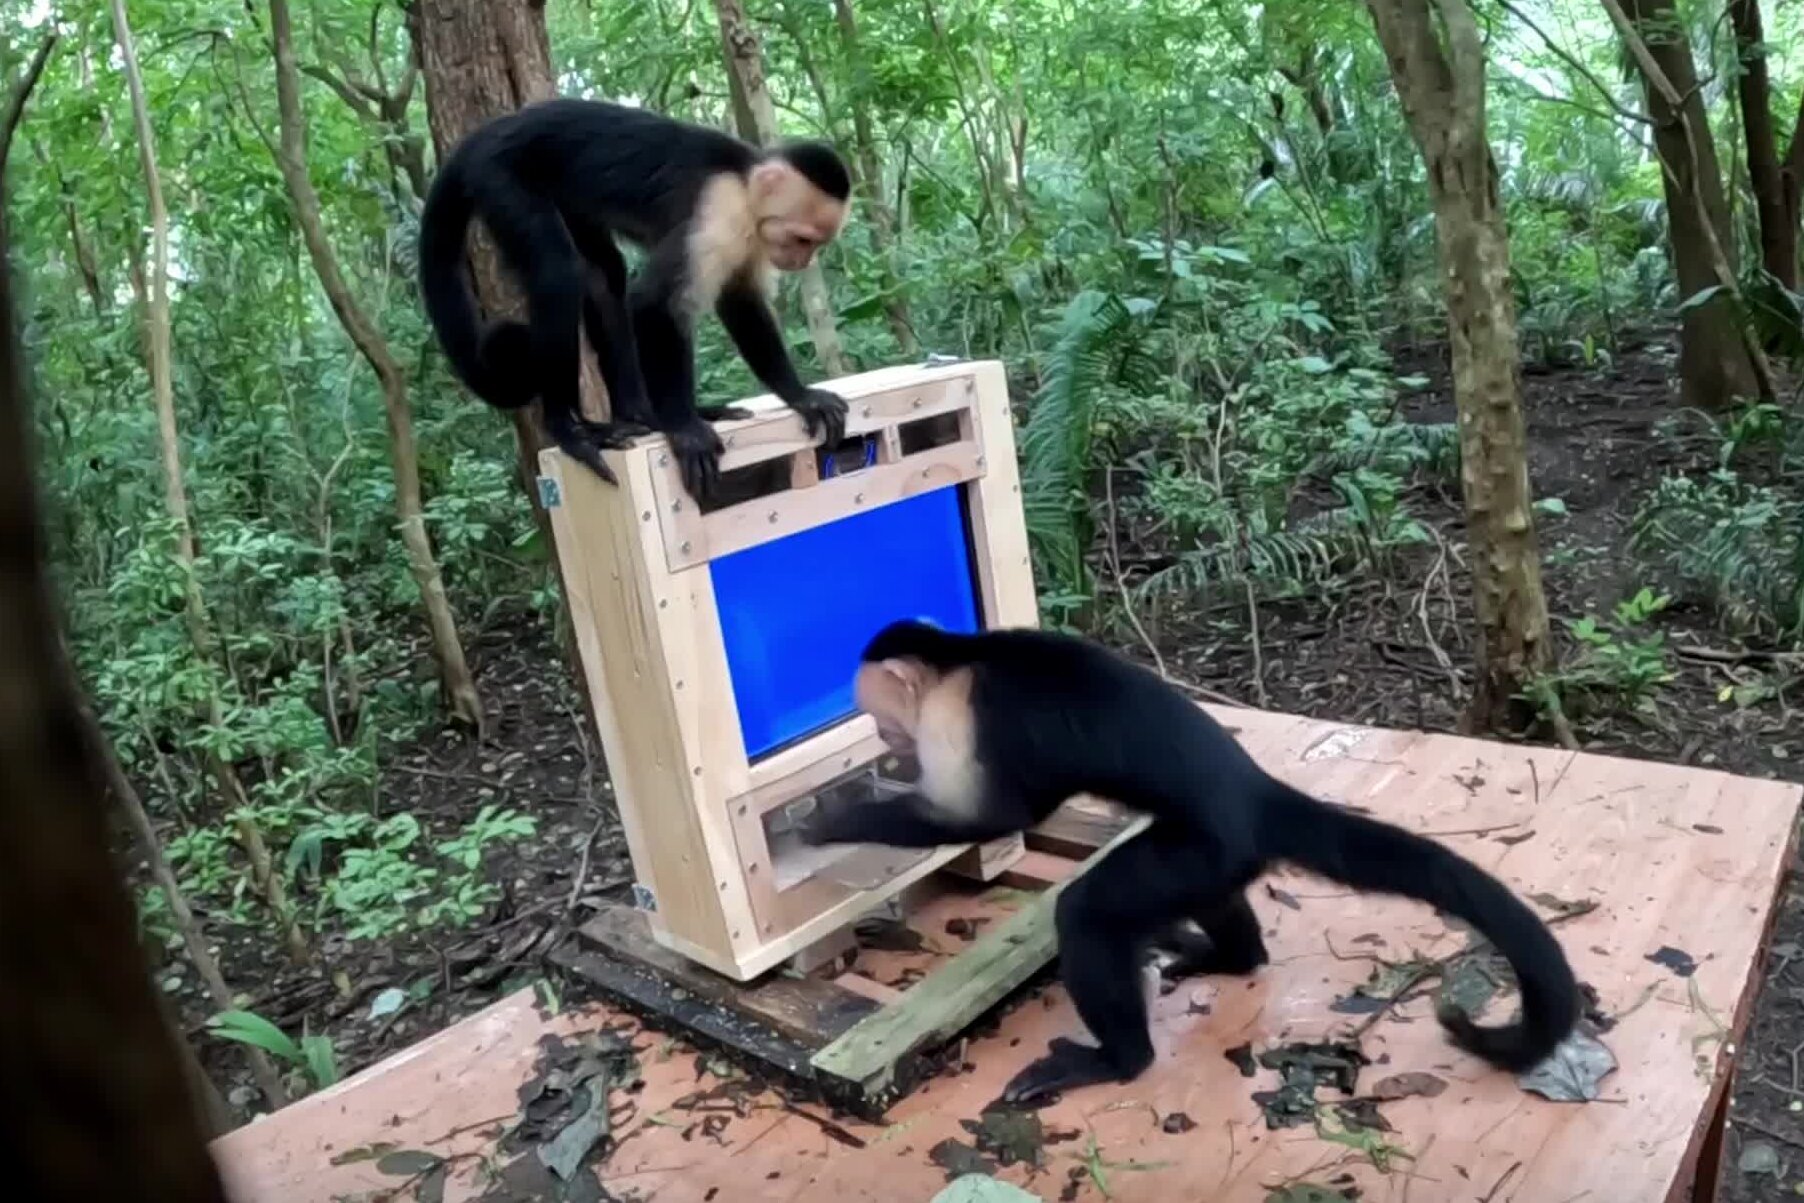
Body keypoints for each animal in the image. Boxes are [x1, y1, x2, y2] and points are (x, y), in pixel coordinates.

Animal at [418, 98, 852, 498]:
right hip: (500, 176)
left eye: (815, 244)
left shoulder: (751, 236)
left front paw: (800, 395)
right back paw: (568, 429)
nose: (801, 261)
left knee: (603, 274)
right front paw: (684, 429)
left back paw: (640, 415)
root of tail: (482, 137)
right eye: (803, 239)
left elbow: (740, 301)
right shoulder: (719, 213)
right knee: (558, 272)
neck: (744, 183)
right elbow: (653, 303)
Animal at [799, 621, 1581, 1105]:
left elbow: (992, 819)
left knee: (1087, 912)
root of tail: (1255, 790)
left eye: (884, 719)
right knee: (1208, 900)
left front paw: (832, 821)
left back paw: (1119, 1058)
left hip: (1209, 844)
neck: (962, 657)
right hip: (1217, 854)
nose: (886, 740)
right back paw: (1229, 955)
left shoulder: (958, 719)